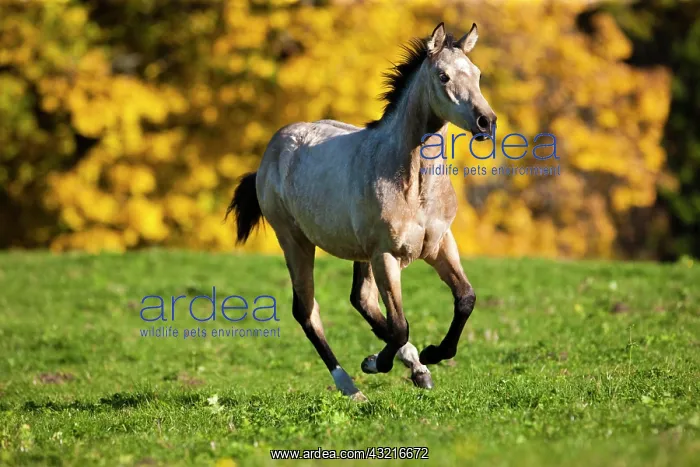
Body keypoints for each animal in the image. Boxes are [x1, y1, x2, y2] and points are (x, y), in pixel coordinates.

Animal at [226, 22, 496, 401]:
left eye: (477, 74)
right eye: (443, 76)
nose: (486, 122)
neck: (413, 186)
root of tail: (273, 150)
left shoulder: (440, 244)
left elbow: (465, 299)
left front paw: (431, 354)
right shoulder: (386, 254)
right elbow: (400, 325)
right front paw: (375, 363)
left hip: (360, 253)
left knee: (362, 299)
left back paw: (417, 367)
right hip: (295, 241)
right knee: (307, 310)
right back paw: (351, 386)